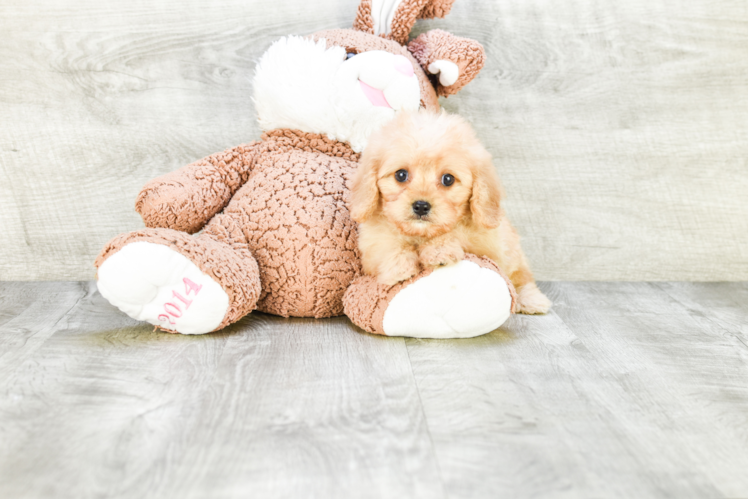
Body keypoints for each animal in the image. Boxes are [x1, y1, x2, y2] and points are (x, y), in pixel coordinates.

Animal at [350, 111, 548, 314]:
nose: (421, 206)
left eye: (448, 179)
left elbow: (457, 234)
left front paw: (439, 251)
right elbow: (387, 245)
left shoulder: (488, 249)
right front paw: (398, 267)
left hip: (513, 253)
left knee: (522, 277)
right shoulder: (371, 246)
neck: (421, 234)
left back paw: (531, 299)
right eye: (401, 175)